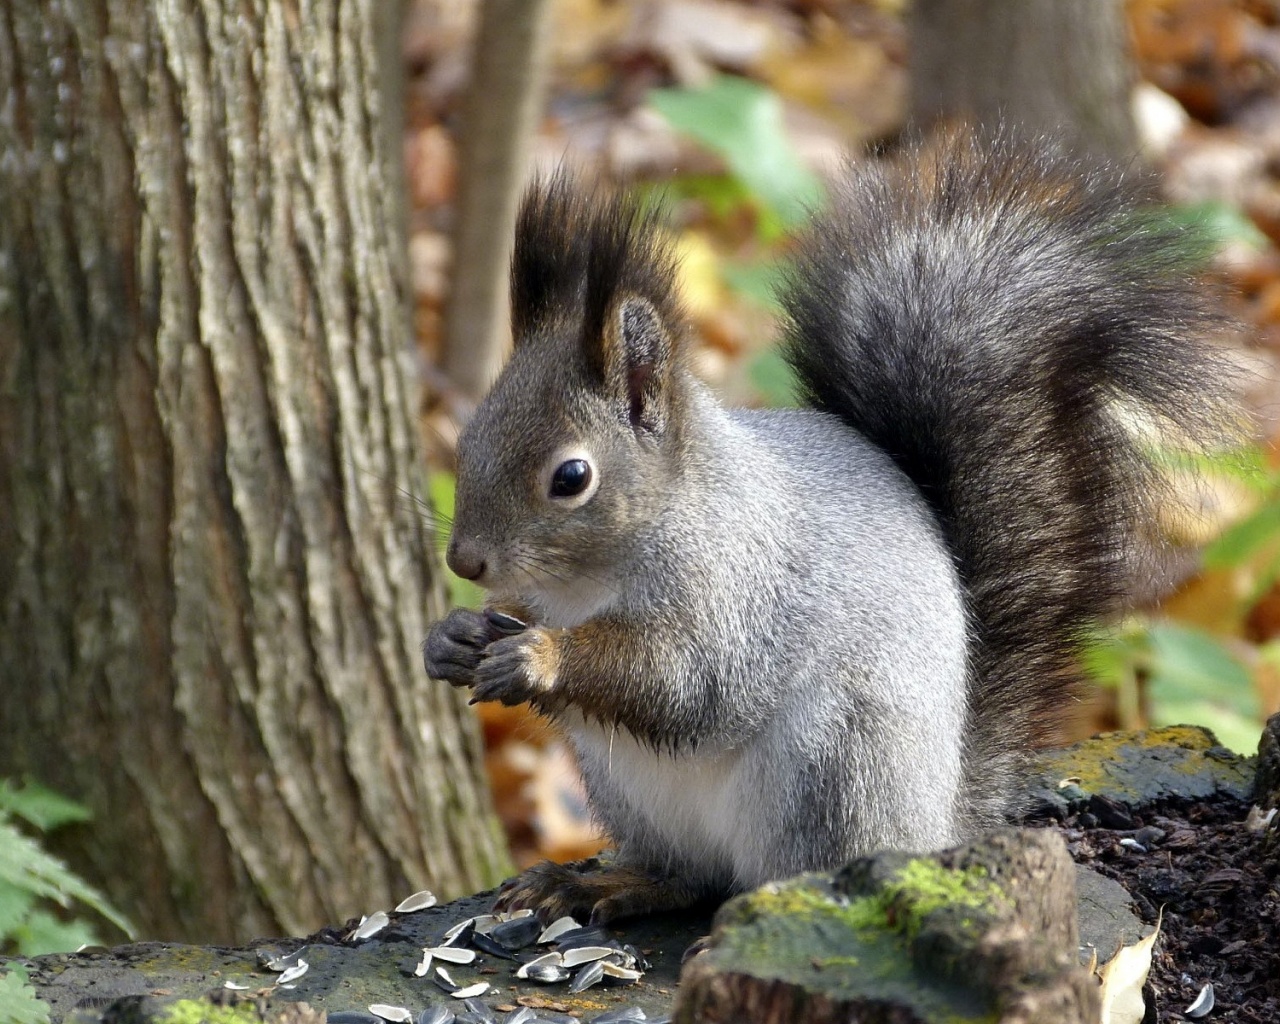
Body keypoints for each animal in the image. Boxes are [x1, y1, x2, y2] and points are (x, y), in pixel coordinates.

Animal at [424, 131, 1233, 921]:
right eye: (469, 438)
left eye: (571, 478)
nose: (465, 563)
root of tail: (936, 821)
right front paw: (455, 638)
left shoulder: (738, 590)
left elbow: (687, 680)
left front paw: (540, 657)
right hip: (631, 791)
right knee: (690, 877)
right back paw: (608, 885)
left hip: (831, 767)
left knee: (789, 876)